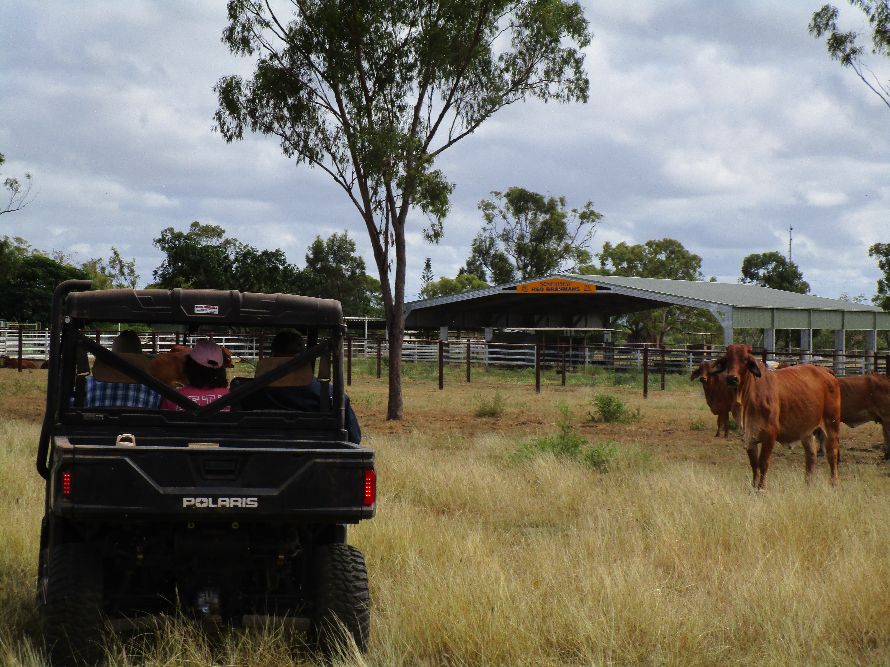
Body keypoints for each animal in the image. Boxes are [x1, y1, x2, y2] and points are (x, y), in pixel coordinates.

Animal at [716, 344, 840, 490]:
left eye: (745, 359)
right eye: (727, 359)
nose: (732, 378)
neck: (749, 396)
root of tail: (826, 371)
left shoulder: (770, 434)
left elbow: (763, 462)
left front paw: (761, 488)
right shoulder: (749, 435)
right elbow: (754, 464)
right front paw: (753, 486)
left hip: (832, 423)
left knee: (832, 453)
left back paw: (834, 483)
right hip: (807, 431)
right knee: (811, 456)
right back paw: (807, 484)